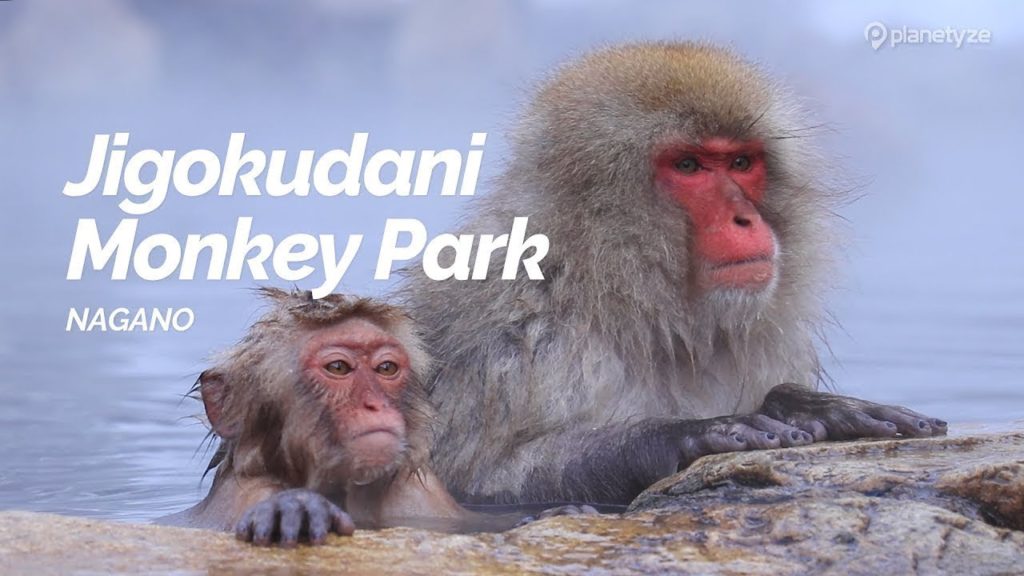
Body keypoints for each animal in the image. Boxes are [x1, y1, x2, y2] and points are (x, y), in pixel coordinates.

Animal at [158, 288, 594, 546]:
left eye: (386, 369)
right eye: (338, 368)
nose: (375, 405)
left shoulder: (420, 496)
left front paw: (561, 514)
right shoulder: (247, 493)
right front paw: (295, 510)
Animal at [399, 42, 948, 506]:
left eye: (741, 162)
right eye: (688, 165)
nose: (745, 219)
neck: (613, 293)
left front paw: (804, 404)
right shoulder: (505, 339)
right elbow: (478, 478)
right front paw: (675, 435)